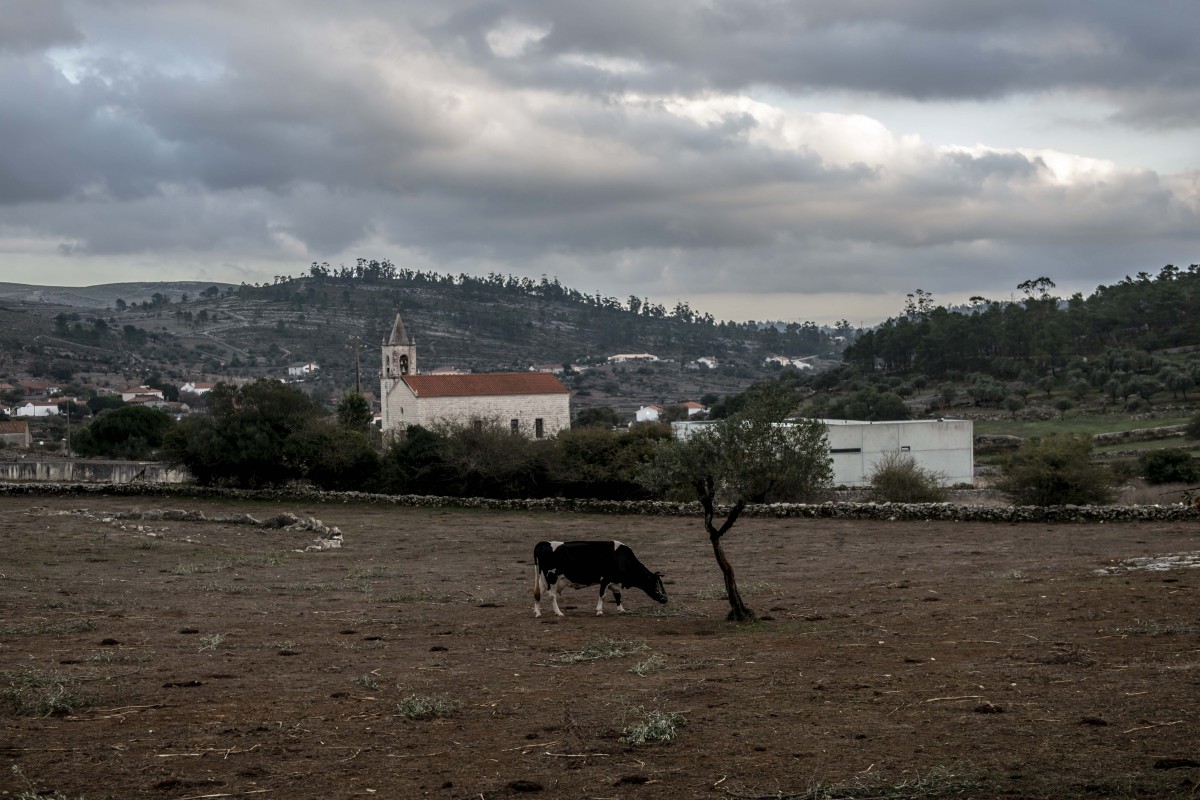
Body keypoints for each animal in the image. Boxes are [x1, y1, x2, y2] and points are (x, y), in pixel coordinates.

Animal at [537, 537, 672, 618]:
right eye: (656, 583)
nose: (665, 599)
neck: (622, 559)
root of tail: (544, 543)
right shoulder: (605, 579)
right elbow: (602, 595)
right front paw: (599, 610)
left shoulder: (615, 581)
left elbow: (618, 595)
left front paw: (621, 609)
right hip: (552, 578)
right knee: (552, 595)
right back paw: (559, 612)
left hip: (543, 580)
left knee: (537, 594)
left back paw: (537, 613)